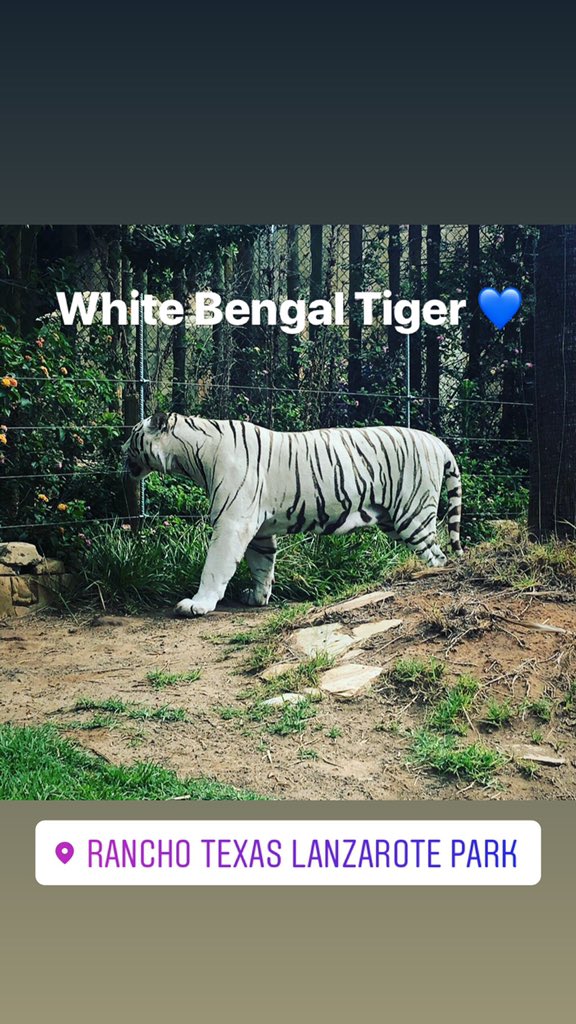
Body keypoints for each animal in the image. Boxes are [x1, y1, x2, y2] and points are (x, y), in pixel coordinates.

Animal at [122, 412, 463, 617]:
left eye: (133, 433)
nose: (120, 445)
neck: (191, 456)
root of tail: (438, 442)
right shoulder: (259, 530)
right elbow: (261, 565)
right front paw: (258, 598)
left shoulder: (232, 523)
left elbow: (215, 567)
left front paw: (198, 604)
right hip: (393, 519)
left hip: (412, 514)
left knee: (438, 556)